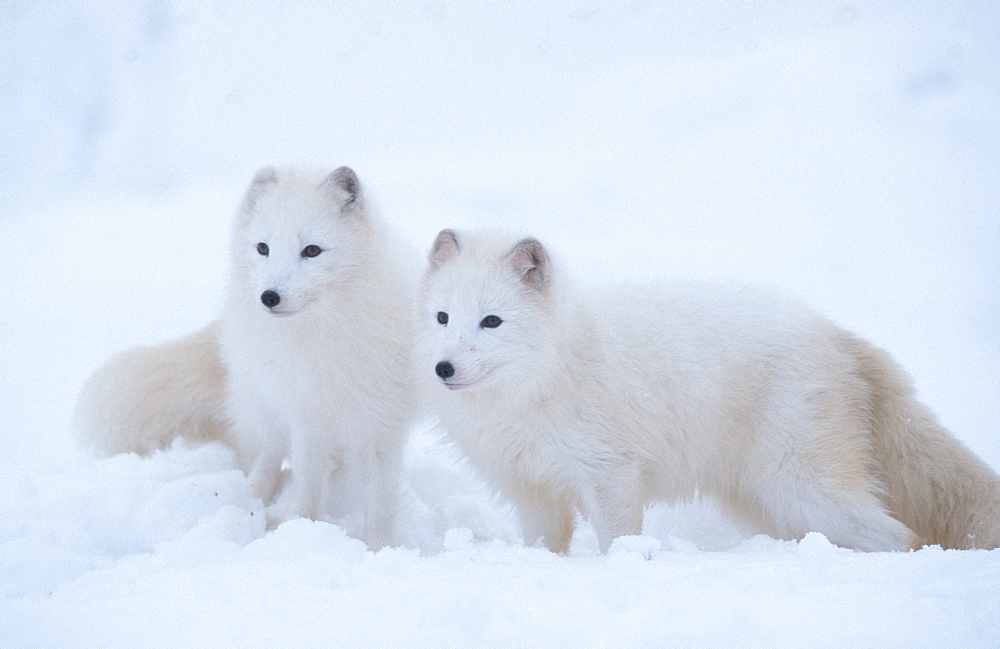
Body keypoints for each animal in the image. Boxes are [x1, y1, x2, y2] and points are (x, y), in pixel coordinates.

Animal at [418, 228, 1000, 552]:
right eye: (442, 318)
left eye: (491, 321)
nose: (443, 368)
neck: (546, 372)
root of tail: (833, 331)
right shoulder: (530, 489)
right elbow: (544, 545)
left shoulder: (609, 472)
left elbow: (618, 541)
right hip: (771, 502)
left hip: (804, 487)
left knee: (903, 539)